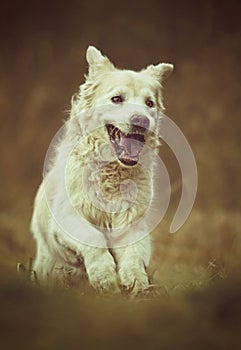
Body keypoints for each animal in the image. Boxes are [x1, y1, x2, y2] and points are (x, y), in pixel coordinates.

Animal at [31, 45, 173, 294]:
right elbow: (94, 239)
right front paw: (104, 276)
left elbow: (133, 254)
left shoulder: (132, 223)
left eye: (149, 103)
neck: (112, 171)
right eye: (117, 99)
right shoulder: (67, 217)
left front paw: (136, 282)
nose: (141, 120)